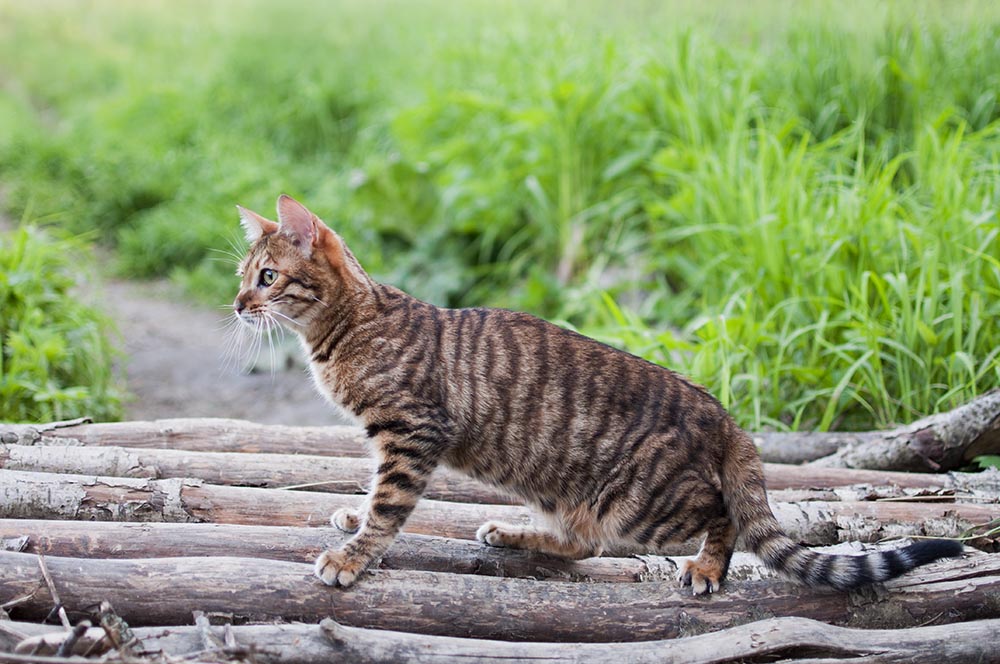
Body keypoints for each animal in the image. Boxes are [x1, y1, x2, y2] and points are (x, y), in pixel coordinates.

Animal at [232, 195, 960, 592]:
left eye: (267, 277)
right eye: (244, 275)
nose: (237, 304)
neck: (346, 328)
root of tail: (721, 413)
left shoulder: (412, 433)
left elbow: (387, 507)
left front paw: (352, 557)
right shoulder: (393, 440)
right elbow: (371, 496)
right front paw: (351, 522)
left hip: (645, 504)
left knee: (718, 514)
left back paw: (705, 566)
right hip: (564, 490)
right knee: (585, 545)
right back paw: (513, 533)